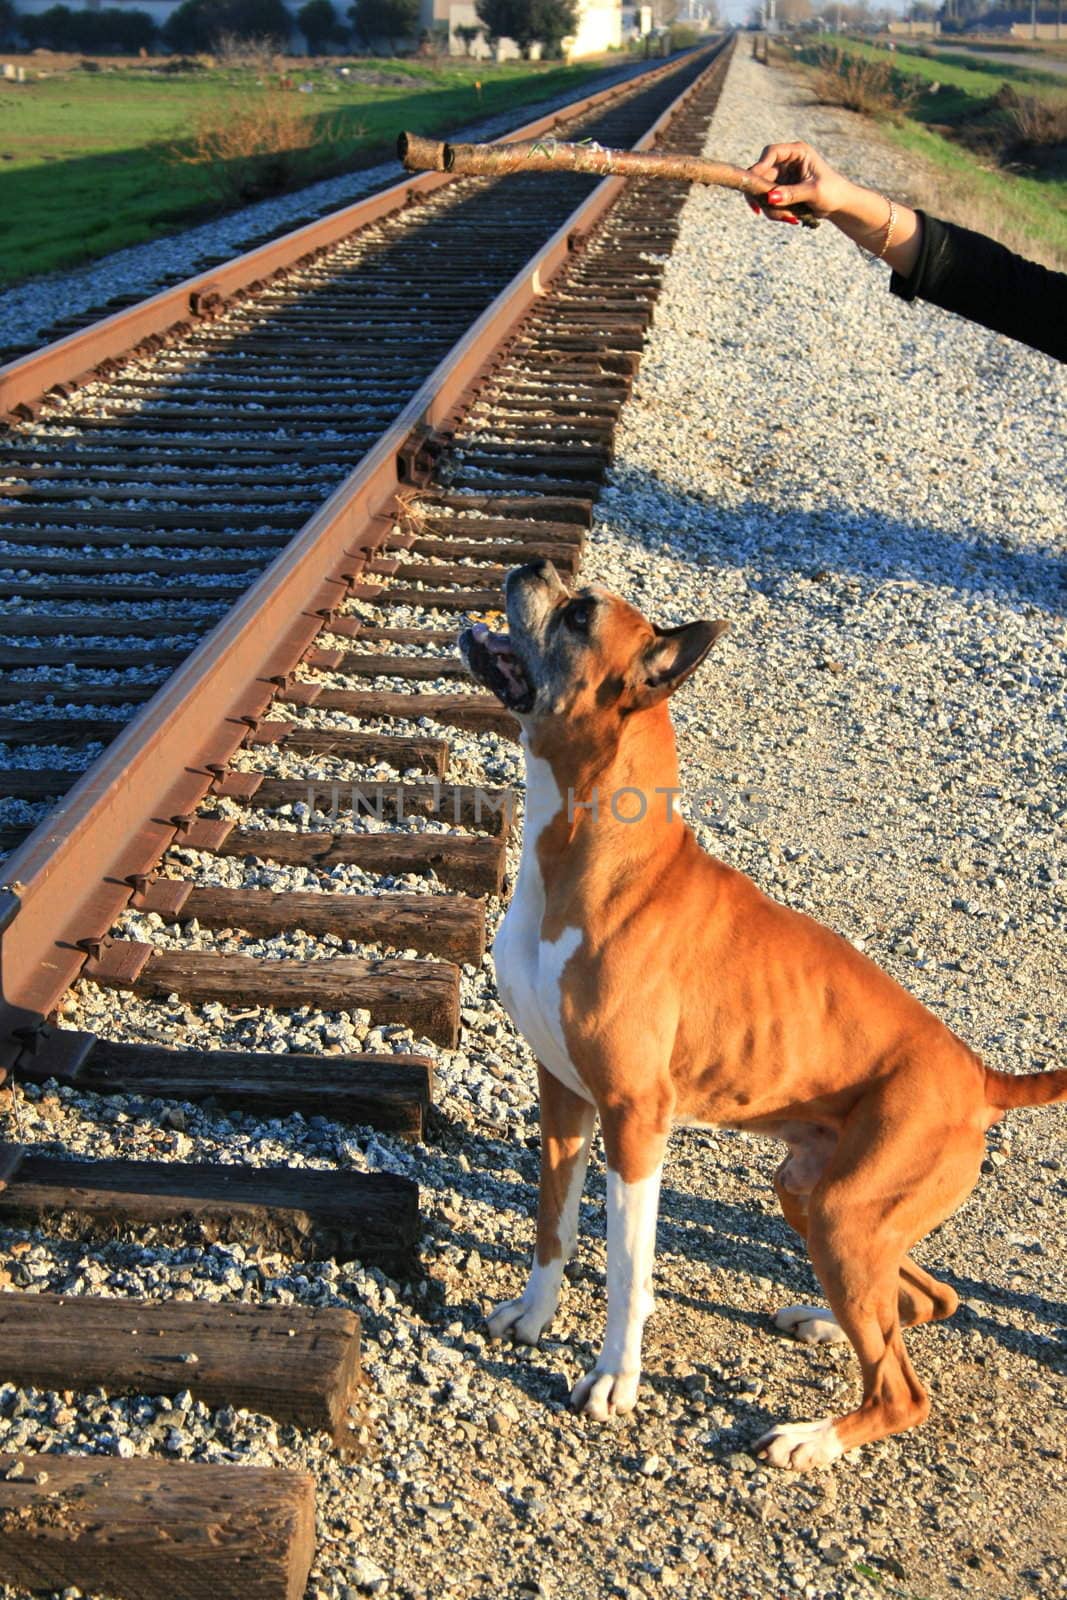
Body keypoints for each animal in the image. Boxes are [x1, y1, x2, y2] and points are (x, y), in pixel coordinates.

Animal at [460, 563, 1067, 1472]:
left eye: (578, 614)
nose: (530, 567)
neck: (587, 850)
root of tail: (980, 1077)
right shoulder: (561, 1096)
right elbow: (550, 1225)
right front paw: (532, 1317)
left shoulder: (634, 1123)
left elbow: (627, 1270)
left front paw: (613, 1381)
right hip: (819, 1200)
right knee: (924, 1301)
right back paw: (824, 1322)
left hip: (845, 1215)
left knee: (901, 1388)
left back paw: (811, 1437)